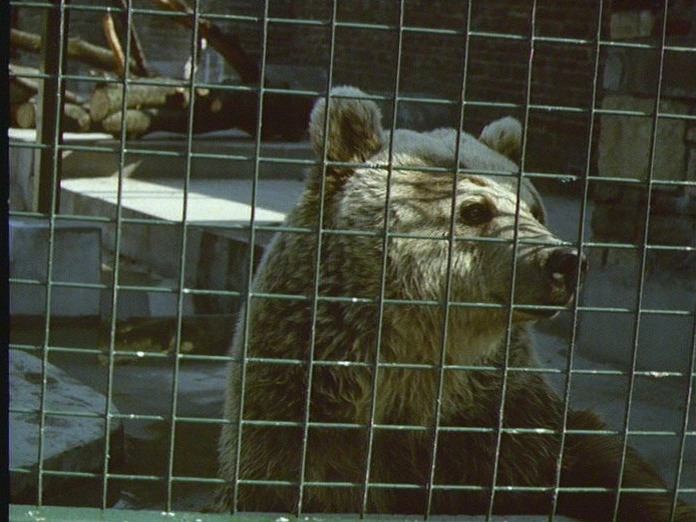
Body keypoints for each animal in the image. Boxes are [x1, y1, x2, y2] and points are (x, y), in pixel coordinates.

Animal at [216, 86, 696, 521]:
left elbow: (605, 465)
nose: (565, 262)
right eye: (475, 210)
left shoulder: (508, 425)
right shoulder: (302, 442)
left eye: (533, 209)